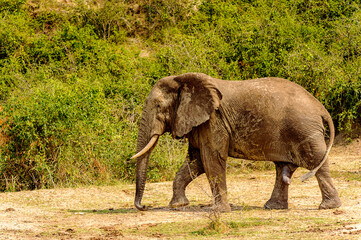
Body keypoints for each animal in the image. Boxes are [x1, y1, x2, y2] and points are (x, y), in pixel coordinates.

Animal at [131, 72, 340, 211]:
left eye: (159, 106)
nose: (144, 206)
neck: (183, 81)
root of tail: (320, 107)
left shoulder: (214, 120)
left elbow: (211, 159)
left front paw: (219, 211)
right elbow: (195, 161)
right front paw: (179, 204)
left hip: (304, 130)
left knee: (316, 161)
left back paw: (328, 206)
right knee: (283, 168)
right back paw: (273, 207)